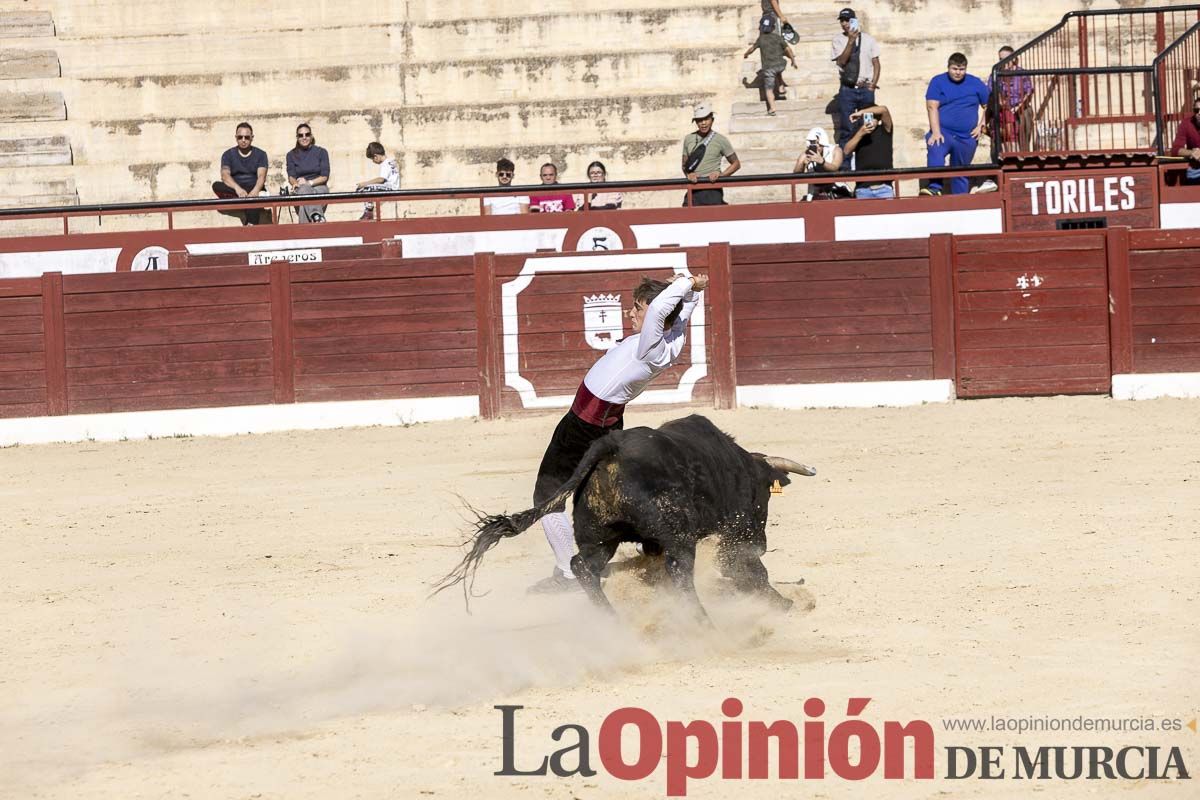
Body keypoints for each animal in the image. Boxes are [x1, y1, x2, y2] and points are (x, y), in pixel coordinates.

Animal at [432, 412, 816, 618]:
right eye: (765, 494)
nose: (763, 543)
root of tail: (610, 446)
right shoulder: (735, 531)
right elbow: (747, 568)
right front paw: (782, 602)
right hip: (677, 535)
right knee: (680, 571)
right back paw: (700, 621)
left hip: (599, 537)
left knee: (583, 566)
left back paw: (611, 617)